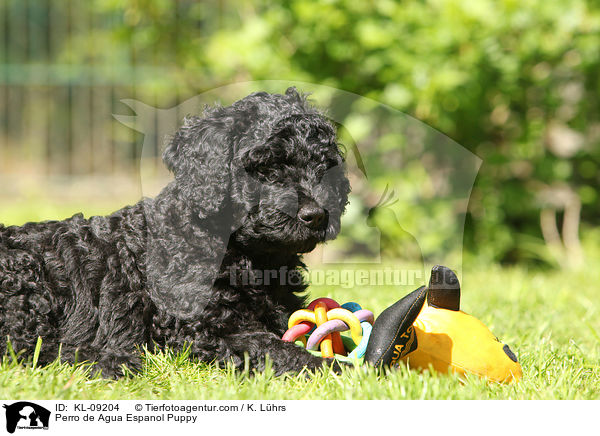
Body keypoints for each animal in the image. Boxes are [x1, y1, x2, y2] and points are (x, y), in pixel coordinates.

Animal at [0, 87, 352, 376]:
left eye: (325, 168)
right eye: (266, 168)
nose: (316, 215)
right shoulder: (203, 327)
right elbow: (270, 347)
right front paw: (338, 370)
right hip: (23, 281)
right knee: (28, 348)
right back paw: (110, 360)